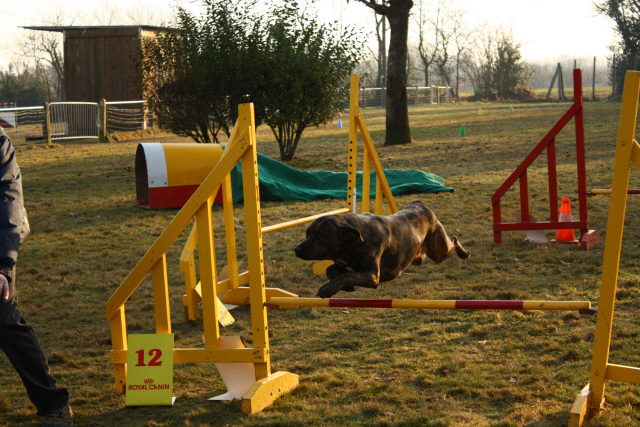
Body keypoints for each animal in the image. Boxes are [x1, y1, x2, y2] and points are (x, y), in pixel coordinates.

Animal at [296, 200, 470, 298]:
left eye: (319, 236)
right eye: (307, 234)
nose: (297, 249)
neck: (355, 240)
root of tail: (419, 204)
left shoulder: (372, 276)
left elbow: (346, 276)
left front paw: (328, 289)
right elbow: (332, 271)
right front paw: (346, 286)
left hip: (440, 250)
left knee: (454, 239)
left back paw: (464, 253)